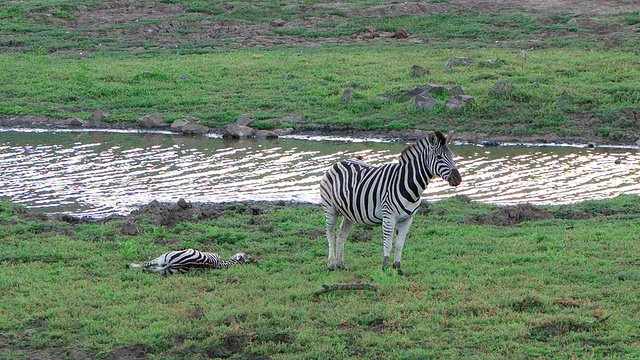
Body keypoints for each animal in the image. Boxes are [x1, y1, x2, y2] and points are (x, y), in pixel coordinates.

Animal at [318, 131, 460, 274]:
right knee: (330, 232)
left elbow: (399, 244)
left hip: (350, 212)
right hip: (330, 208)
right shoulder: (389, 216)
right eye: (439, 157)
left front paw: (398, 267)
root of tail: (338, 163)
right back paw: (331, 264)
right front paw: (385, 267)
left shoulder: (408, 219)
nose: (458, 179)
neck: (408, 183)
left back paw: (340, 264)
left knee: (341, 233)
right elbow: (388, 243)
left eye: (452, 156)